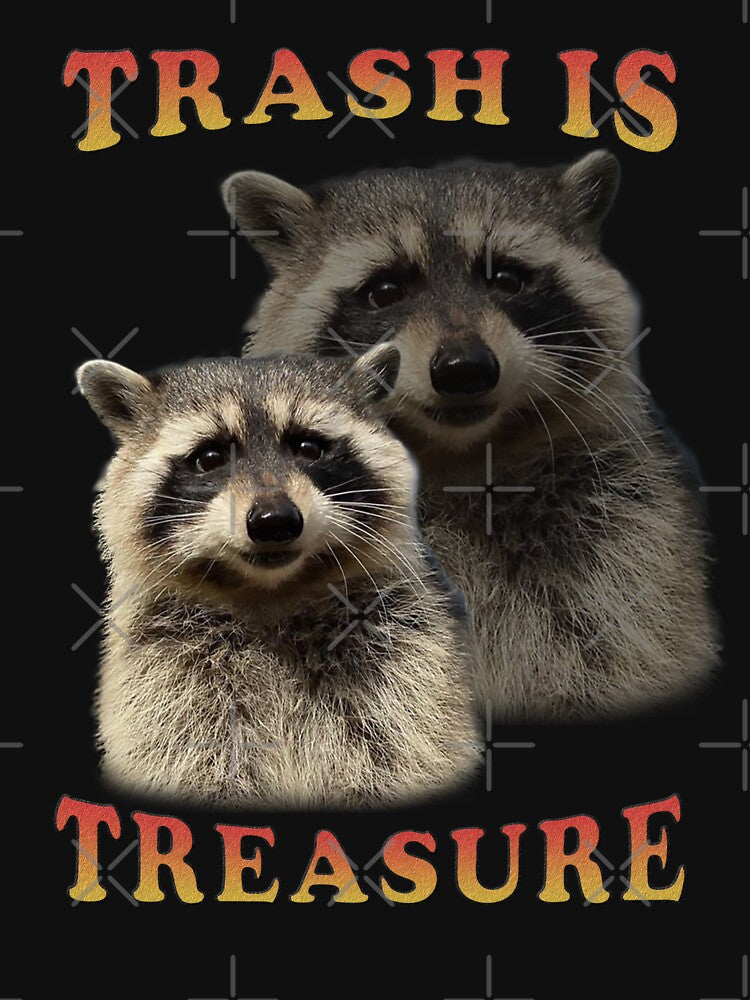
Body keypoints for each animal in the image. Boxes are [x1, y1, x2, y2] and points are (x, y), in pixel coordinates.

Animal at [76, 348, 479, 807]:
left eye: (309, 447)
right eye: (210, 457)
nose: (274, 520)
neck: (269, 591)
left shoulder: (403, 659)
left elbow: (401, 751)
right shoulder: (165, 674)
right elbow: (185, 753)